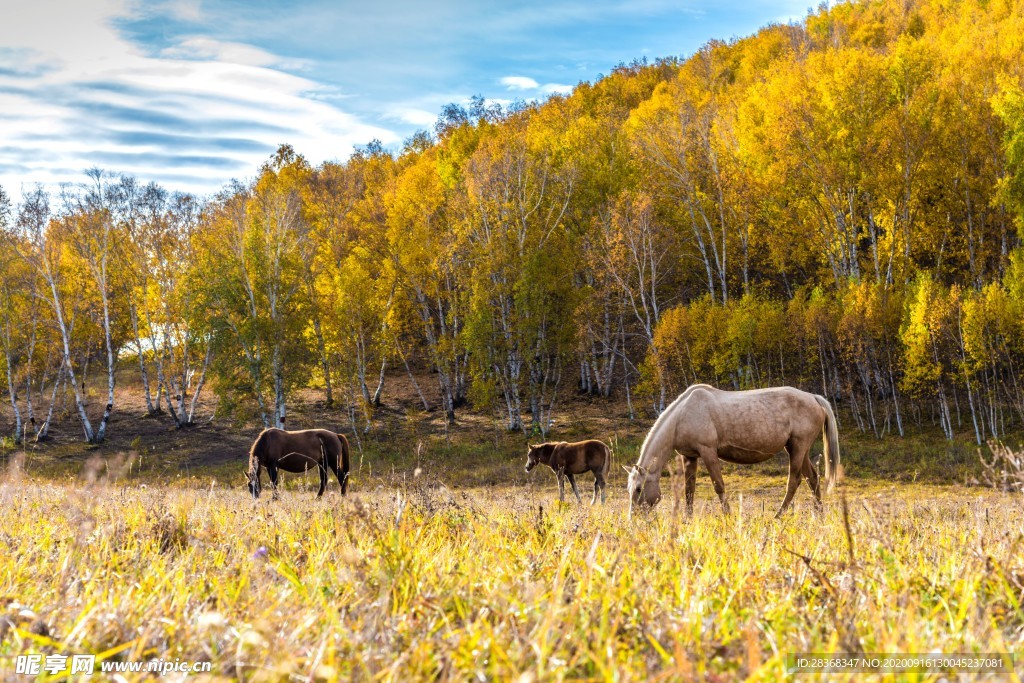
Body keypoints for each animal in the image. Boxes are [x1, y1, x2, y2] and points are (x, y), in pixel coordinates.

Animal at [622, 385, 839, 518]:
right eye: (629, 488)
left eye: (639, 488)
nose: (635, 518)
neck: (682, 415)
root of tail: (814, 398)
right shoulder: (689, 456)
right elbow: (689, 490)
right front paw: (687, 520)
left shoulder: (708, 452)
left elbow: (719, 486)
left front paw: (728, 517)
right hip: (797, 449)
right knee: (812, 478)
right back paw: (819, 515)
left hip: (798, 448)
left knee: (794, 481)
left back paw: (777, 516)